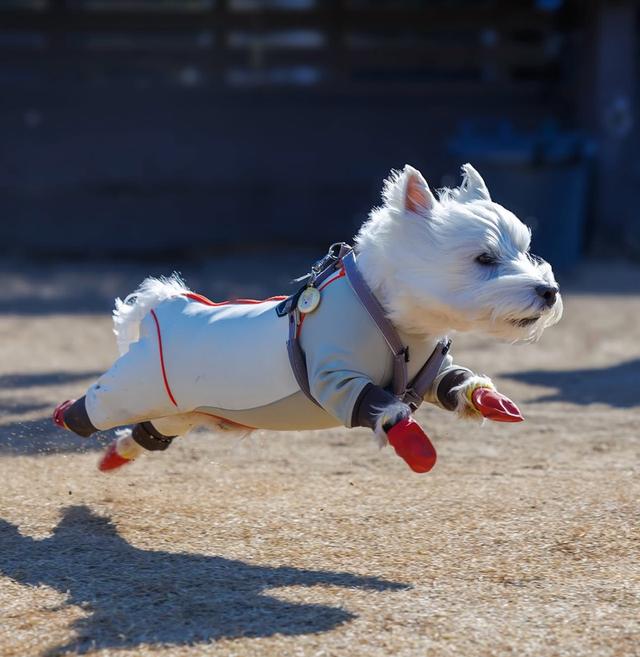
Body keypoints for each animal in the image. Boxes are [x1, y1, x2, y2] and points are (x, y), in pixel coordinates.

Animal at [51, 163, 560, 472]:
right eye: (484, 258)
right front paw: (415, 445)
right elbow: (380, 405)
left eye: (524, 247)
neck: (395, 321)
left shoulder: (429, 372)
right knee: (92, 408)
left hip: (177, 411)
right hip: (133, 387)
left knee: (149, 432)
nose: (549, 291)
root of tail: (167, 305)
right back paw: (64, 414)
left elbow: (452, 383)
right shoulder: (334, 376)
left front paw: (487, 399)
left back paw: (115, 457)